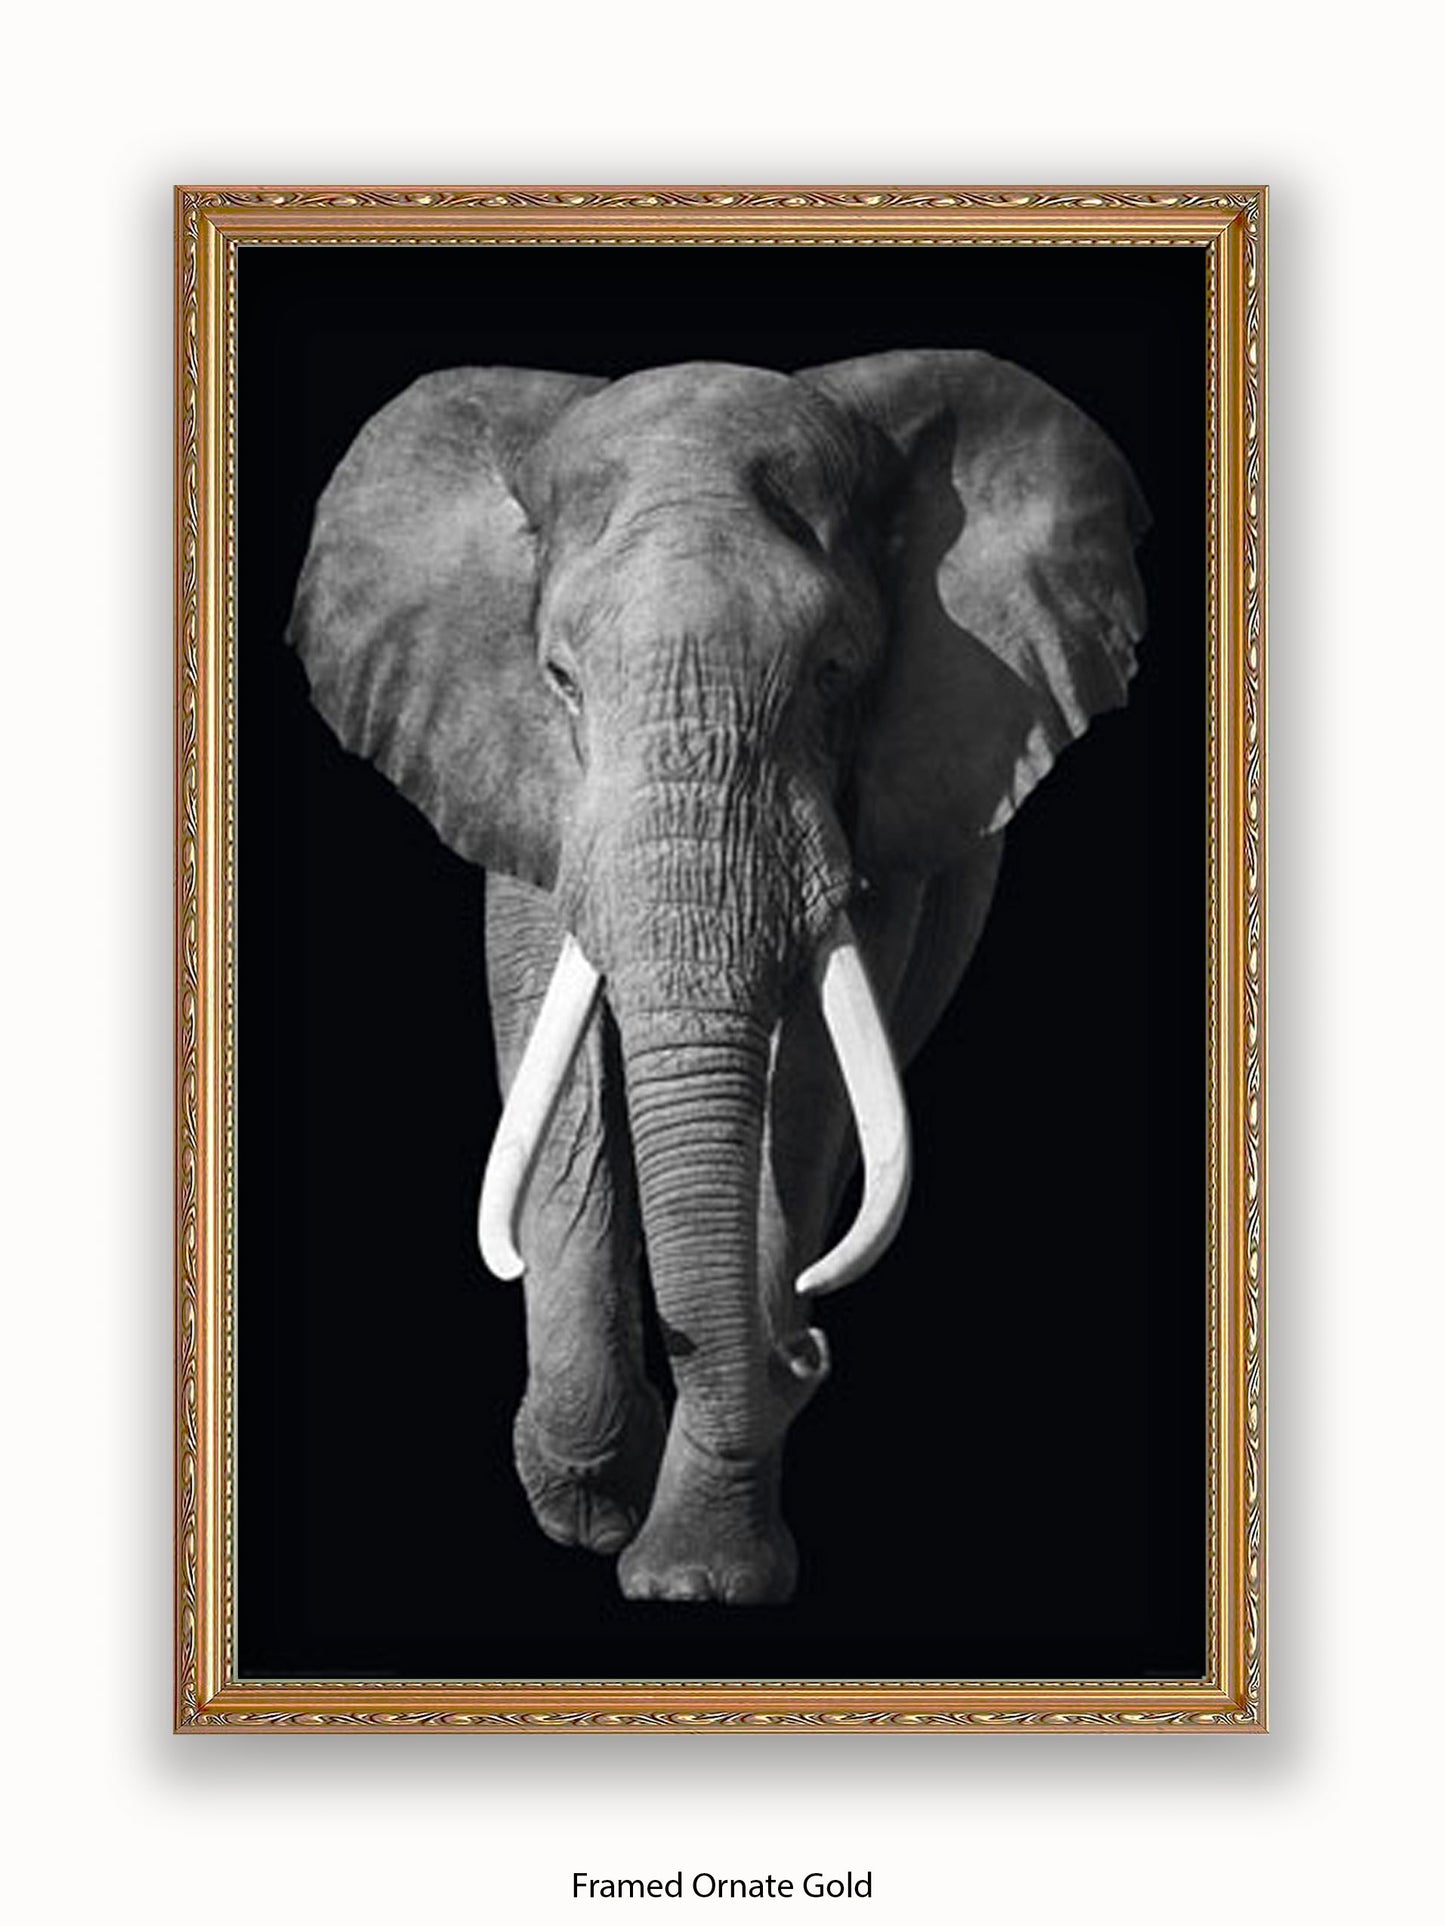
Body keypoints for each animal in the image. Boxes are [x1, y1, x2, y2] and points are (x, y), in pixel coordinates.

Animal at [288, 350, 1148, 1605]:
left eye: (836, 671)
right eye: (559, 678)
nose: (806, 1350)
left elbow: (804, 1090)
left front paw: (695, 1576)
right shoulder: (520, 776)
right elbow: (559, 1062)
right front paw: (592, 1501)